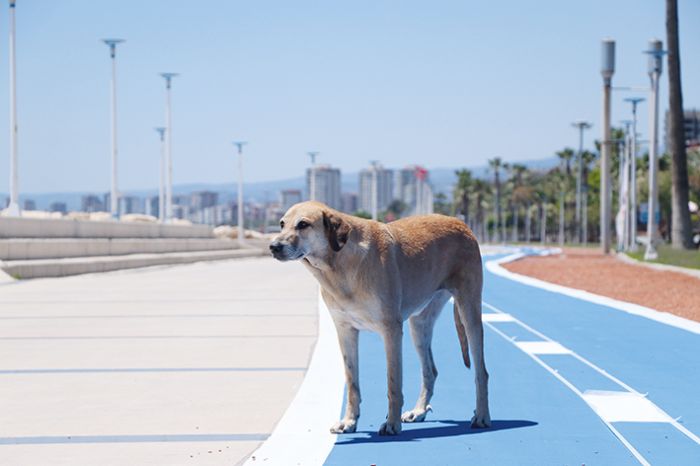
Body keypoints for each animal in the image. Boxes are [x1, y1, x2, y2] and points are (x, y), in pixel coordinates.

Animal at [270, 201, 490, 436]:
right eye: (282, 224)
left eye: (303, 224)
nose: (273, 246)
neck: (337, 265)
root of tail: (461, 223)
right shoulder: (345, 331)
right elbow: (352, 383)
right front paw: (349, 421)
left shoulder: (390, 331)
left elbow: (393, 383)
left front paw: (392, 423)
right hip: (419, 326)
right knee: (430, 370)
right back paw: (419, 410)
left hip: (469, 315)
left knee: (481, 372)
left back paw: (482, 416)